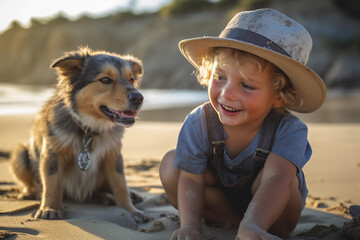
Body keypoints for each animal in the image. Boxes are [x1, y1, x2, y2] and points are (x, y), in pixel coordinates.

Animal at [11, 46, 146, 220]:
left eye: (131, 80)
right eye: (105, 80)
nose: (138, 98)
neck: (89, 128)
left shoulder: (113, 155)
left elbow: (120, 184)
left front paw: (130, 210)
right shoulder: (52, 152)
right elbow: (52, 182)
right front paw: (51, 208)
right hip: (20, 155)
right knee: (30, 183)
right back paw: (29, 193)